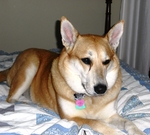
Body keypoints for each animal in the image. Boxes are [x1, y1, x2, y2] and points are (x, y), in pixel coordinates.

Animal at [0, 16, 145, 134]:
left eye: (107, 61)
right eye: (86, 60)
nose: (101, 89)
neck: (90, 99)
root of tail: (11, 67)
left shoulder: (111, 115)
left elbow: (129, 122)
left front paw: (138, 131)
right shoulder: (72, 117)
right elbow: (96, 122)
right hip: (30, 65)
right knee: (11, 98)